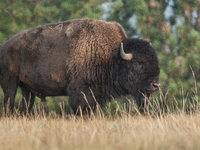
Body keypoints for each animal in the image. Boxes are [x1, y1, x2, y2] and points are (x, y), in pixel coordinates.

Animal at [0, 18, 160, 115]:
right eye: (138, 63)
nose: (156, 85)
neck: (111, 55)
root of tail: (4, 44)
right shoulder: (81, 92)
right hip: (10, 85)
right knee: (9, 104)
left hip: (27, 89)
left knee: (25, 106)